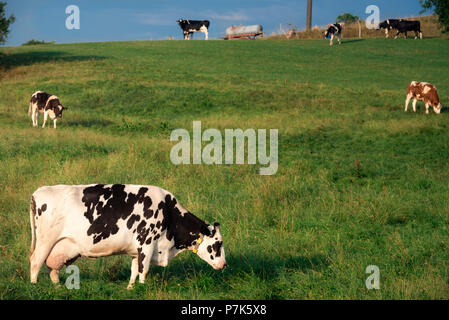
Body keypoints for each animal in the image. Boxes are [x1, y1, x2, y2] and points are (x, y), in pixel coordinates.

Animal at [30, 184, 228, 288]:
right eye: (218, 243)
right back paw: (34, 286)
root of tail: (38, 192)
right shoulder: (147, 243)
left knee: (52, 268)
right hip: (45, 241)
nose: (225, 265)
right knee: (35, 261)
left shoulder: (137, 250)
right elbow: (143, 270)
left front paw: (131, 288)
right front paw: (142, 287)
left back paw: (58, 287)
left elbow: (134, 269)